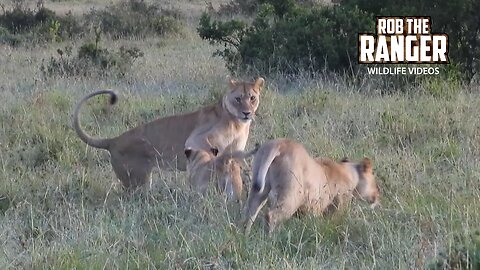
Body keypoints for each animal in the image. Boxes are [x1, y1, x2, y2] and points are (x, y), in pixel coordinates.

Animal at [73, 77, 264, 189]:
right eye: (238, 98)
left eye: (252, 98)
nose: (246, 113)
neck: (237, 124)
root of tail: (113, 140)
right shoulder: (196, 140)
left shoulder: (237, 151)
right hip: (137, 181)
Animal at [239, 139, 378, 234]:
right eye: (374, 183)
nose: (377, 196)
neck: (349, 172)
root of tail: (279, 144)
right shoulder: (338, 202)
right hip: (292, 195)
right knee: (271, 215)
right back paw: (271, 238)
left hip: (258, 190)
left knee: (249, 213)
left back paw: (245, 235)